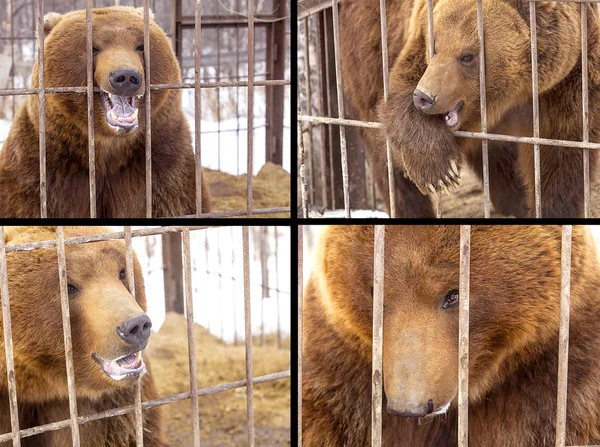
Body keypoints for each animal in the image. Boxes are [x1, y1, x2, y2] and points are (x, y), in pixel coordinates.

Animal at [0, 6, 211, 217]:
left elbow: (175, 199)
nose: (126, 77)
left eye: (140, 46)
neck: (108, 148)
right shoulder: (40, 170)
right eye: (93, 47)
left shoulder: (163, 165)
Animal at [340, 0, 596, 218]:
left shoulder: (570, 76)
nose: (423, 96)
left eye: (467, 56)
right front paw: (439, 172)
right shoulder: (414, 29)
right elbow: (402, 89)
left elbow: (560, 153)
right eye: (434, 46)